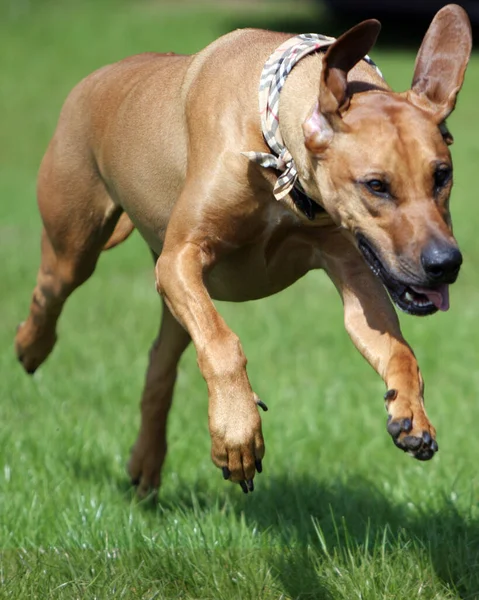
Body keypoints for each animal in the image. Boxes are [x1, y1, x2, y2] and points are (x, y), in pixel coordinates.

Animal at [14, 4, 472, 494]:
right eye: (376, 185)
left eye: (442, 175)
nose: (446, 263)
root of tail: (95, 78)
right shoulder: (180, 258)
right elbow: (222, 343)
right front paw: (238, 433)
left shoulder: (353, 268)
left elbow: (395, 347)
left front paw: (412, 414)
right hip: (77, 241)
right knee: (51, 288)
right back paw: (31, 345)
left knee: (161, 363)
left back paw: (146, 463)